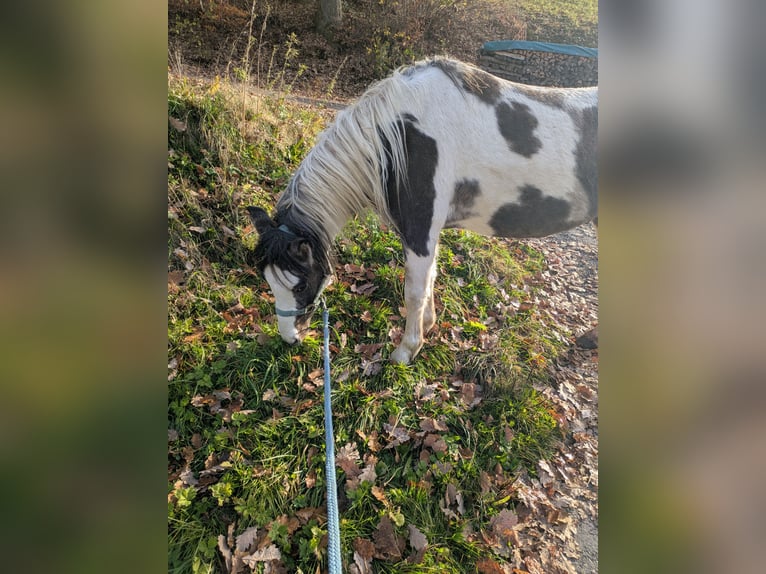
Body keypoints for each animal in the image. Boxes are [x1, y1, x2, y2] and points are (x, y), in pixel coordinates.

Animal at [248, 57, 597, 365]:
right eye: (268, 281)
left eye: (300, 285)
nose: (289, 338)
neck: (401, 138)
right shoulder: (425, 231)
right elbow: (430, 279)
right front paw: (428, 325)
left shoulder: (420, 230)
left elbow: (414, 291)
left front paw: (406, 350)